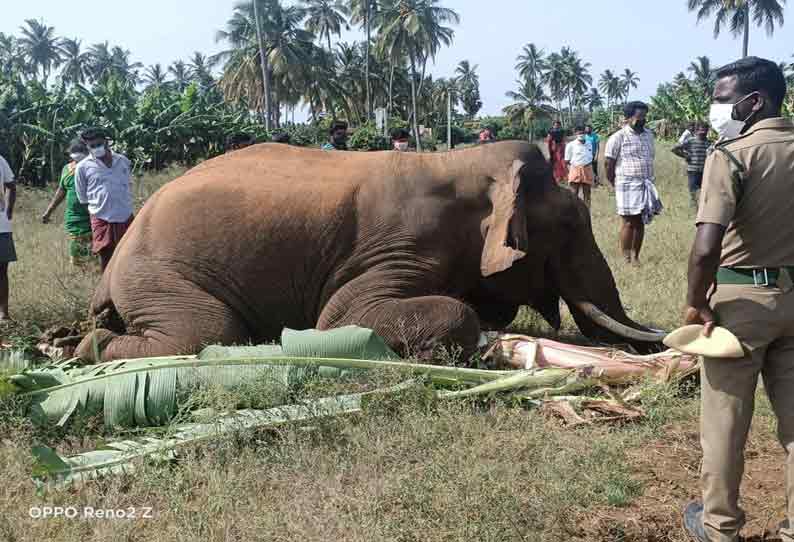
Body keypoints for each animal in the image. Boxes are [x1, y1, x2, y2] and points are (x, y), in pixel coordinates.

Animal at [76, 142, 664, 366]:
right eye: (570, 224)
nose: (663, 342)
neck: (466, 162)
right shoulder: (401, 245)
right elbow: (340, 318)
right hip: (154, 275)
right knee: (208, 331)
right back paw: (83, 347)